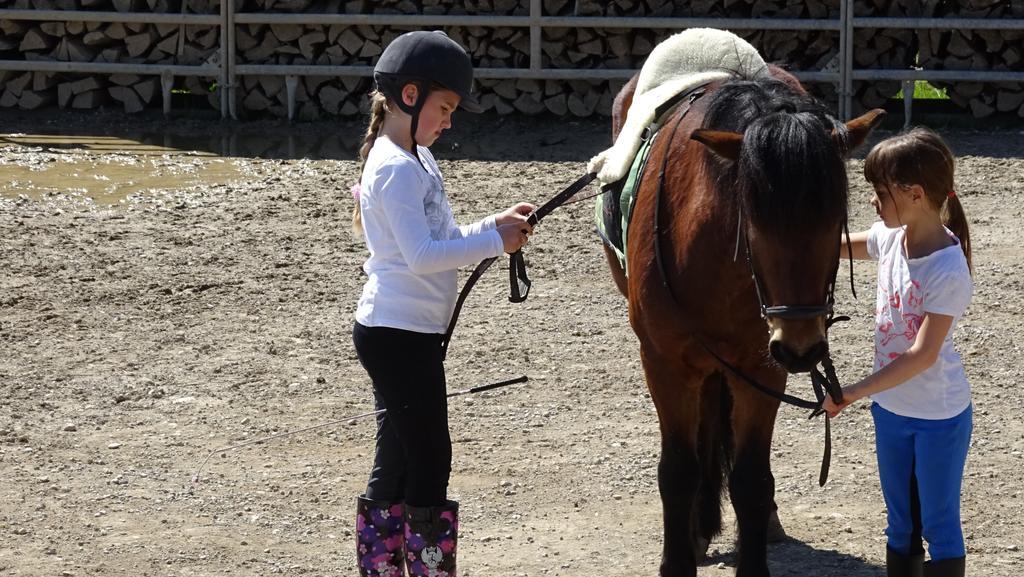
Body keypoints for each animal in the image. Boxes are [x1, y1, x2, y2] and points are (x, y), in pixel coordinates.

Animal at [602, 68, 884, 577]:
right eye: (752, 221)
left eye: (836, 220)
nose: (801, 346)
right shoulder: (665, 364)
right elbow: (677, 470)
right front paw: (678, 557)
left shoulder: (761, 370)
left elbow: (752, 478)